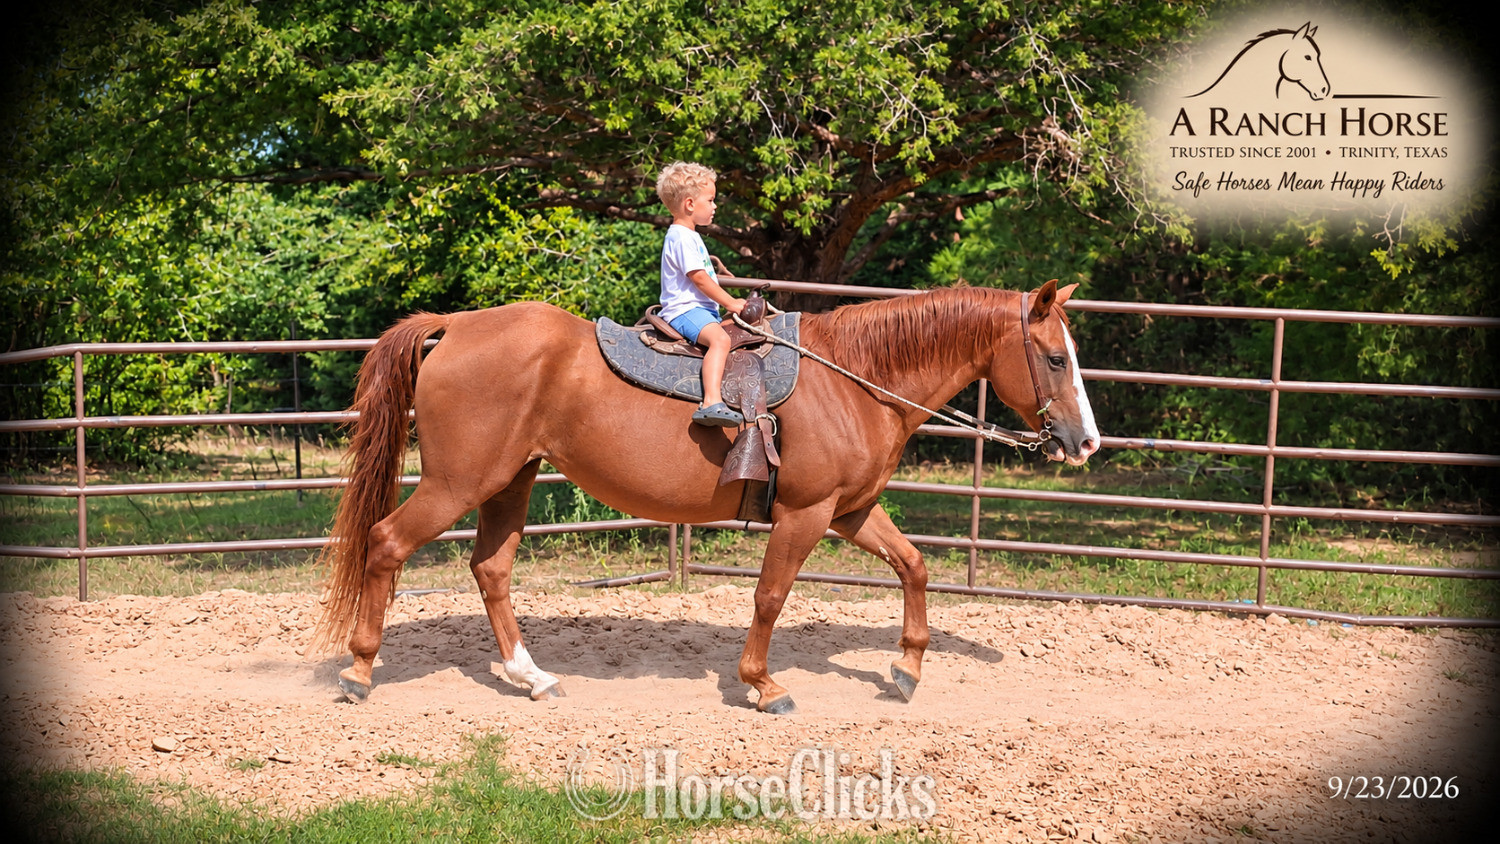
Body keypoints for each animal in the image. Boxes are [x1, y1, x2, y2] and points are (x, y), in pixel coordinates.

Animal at [312, 280, 1100, 714]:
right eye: (1054, 358)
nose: (1086, 441)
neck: (854, 378)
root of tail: (456, 327)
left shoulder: (849, 512)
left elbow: (914, 566)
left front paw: (905, 670)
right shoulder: (806, 515)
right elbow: (771, 597)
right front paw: (763, 685)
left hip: (511, 480)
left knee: (491, 571)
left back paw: (533, 678)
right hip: (457, 484)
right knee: (385, 544)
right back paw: (358, 671)